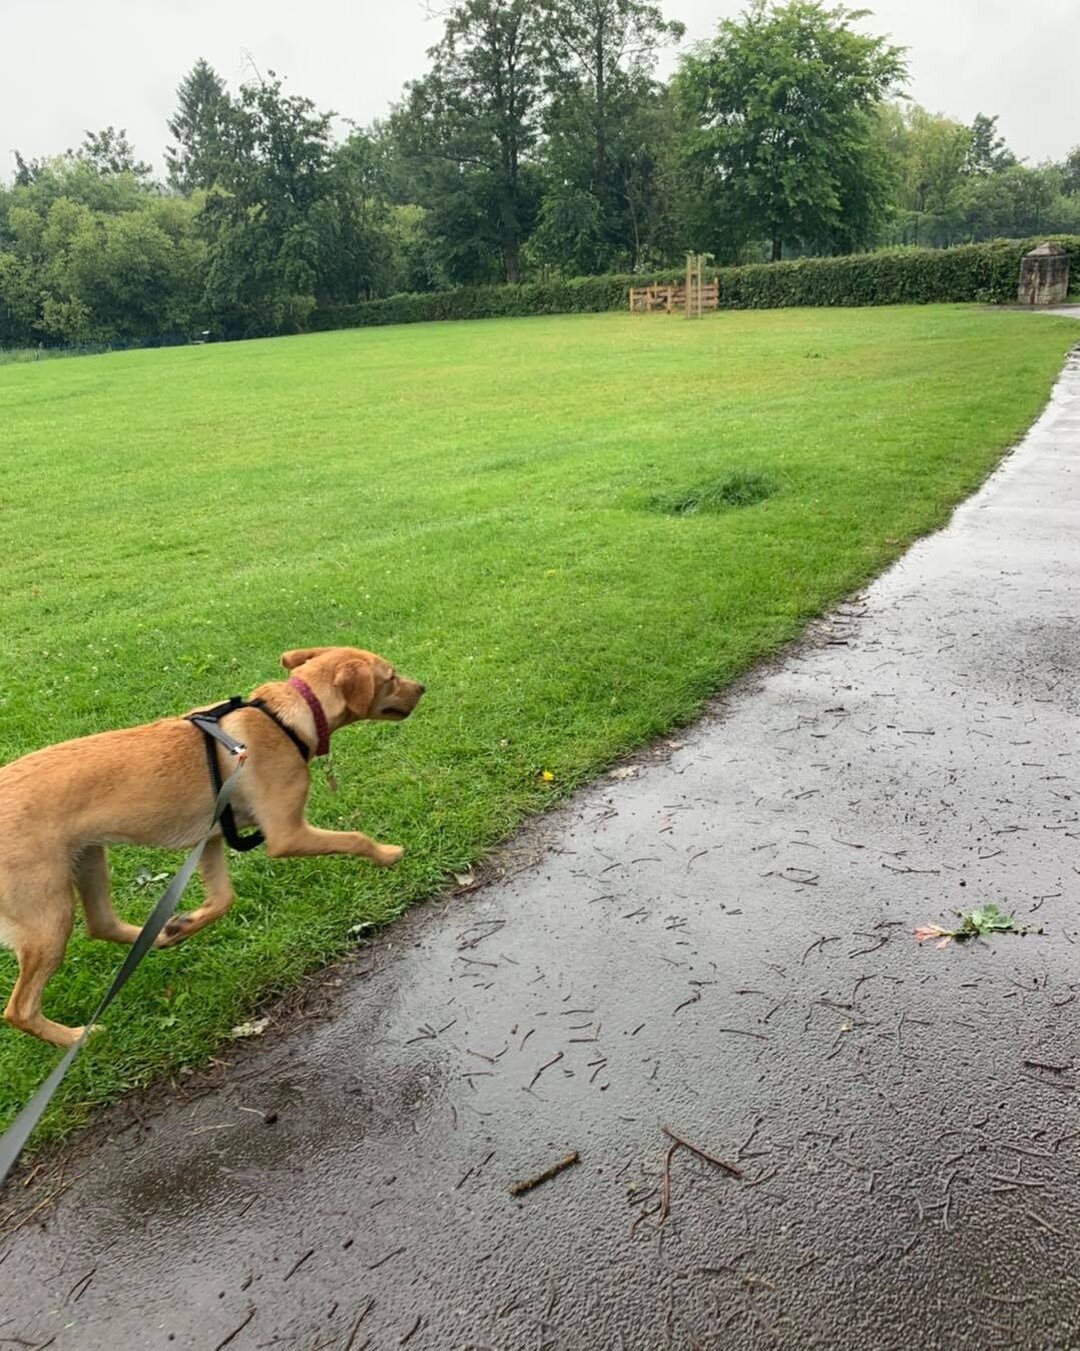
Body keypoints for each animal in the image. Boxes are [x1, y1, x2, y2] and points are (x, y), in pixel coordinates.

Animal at [0, 648, 427, 1048]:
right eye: (391, 677)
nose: (422, 688)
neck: (287, 719)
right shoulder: (287, 834)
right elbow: (355, 838)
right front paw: (388, 854)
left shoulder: (211, 838)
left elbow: (222, 899)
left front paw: (187, 922)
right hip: (47, 912)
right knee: (18, 1009)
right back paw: (76, 1037)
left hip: (87, 859)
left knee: (101, 923)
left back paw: (162, 934)